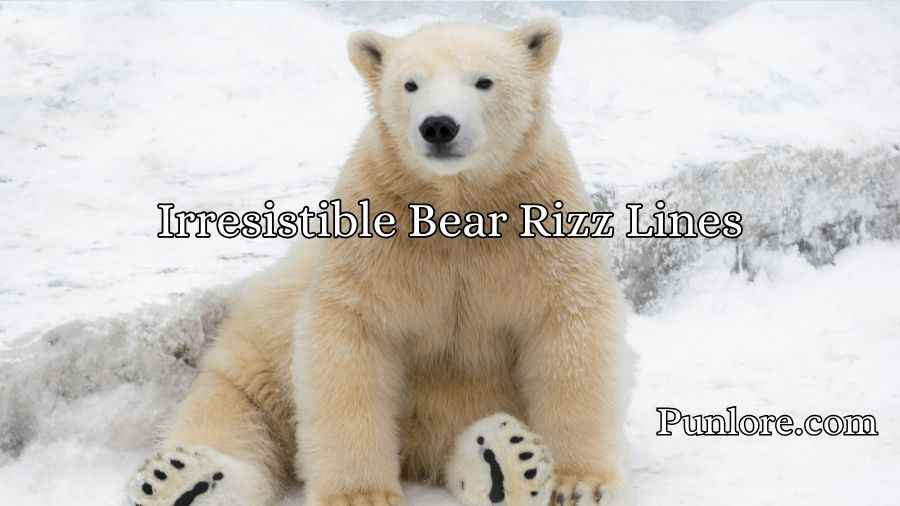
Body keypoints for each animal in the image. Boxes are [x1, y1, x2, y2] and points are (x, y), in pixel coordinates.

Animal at [127, 17, 629, 506]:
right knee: (231, 417)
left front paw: (579, 483)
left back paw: (505, 462)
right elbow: (351, 339)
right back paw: (183, 479)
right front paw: (361, 496)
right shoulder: (377, 228)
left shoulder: (537, 219)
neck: (455, 205)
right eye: (410, 84)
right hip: (254, 361)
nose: (438, 126)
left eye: (484, 81)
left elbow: (568, 331)